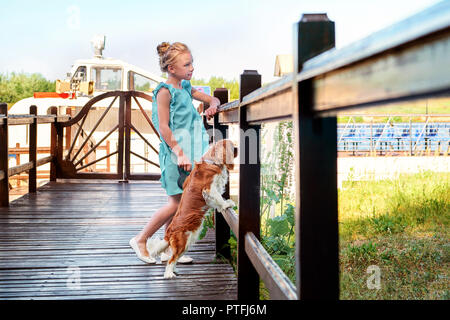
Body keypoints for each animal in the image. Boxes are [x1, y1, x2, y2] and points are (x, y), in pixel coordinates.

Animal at [149, 139, 237, 278]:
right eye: (233, 147)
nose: (237, 149)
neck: (212, 162)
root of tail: (169, 232)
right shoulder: (209, 189)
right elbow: (219, 198)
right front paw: (226, 204)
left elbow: (217, 200)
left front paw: (223, 205)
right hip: (183, 242)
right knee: (172, 259)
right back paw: (169, 274)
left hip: (186, 242)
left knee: (175, 259)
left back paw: (174, 270)